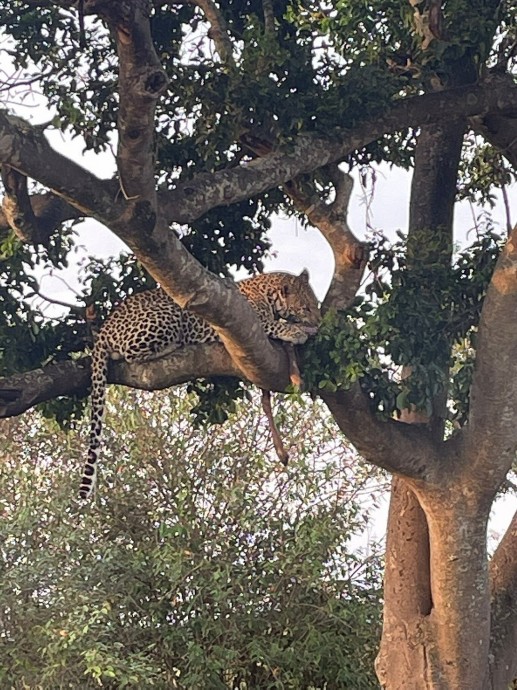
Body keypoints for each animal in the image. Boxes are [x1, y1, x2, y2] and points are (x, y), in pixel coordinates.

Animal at [78, 266, 320, 498]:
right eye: (306, 308)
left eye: (315, 305)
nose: (318, 322)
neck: (267, 292)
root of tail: (105, 328)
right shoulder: (249, 323)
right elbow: (273, 325)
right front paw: (296, 331)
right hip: (170, 315)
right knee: (130, 354)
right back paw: (174, 345)